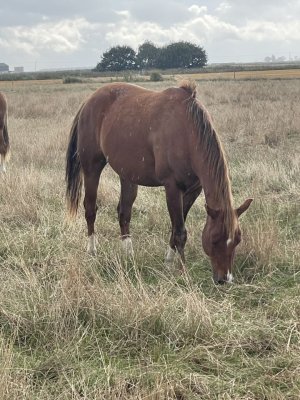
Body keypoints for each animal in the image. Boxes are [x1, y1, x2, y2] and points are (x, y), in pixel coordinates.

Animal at [66, 79, 253, 282]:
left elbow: (176, 228)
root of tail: (88, 101)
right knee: (90, 209)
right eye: (214, 239)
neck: (187, 132)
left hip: (128, 174)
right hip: (92, 168)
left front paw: (169, 263)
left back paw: (128, 254)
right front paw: (183, 272)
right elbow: (180, 232)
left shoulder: (193, 191)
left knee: (124, 213)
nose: (224, 279)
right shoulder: (172, 187)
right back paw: (92, 250)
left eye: (238, 240)